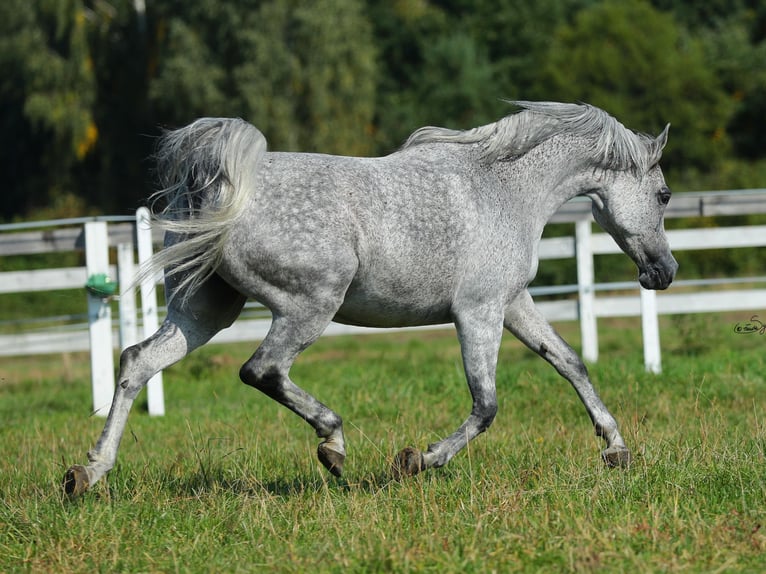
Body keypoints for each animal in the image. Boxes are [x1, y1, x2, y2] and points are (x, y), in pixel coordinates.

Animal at [64, 101, 680, 498]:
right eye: (664, 194)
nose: (665, 272)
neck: (505, 188)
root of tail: (217, 187)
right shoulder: (478, 312)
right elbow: (486, 405)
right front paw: (416, 461)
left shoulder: (512, 304)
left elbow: (570, 363)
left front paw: (615, 449)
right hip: (309, 305)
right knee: (261, 369)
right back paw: (333, 446)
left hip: (205, 310)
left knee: (136, 362)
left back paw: (87, 474)